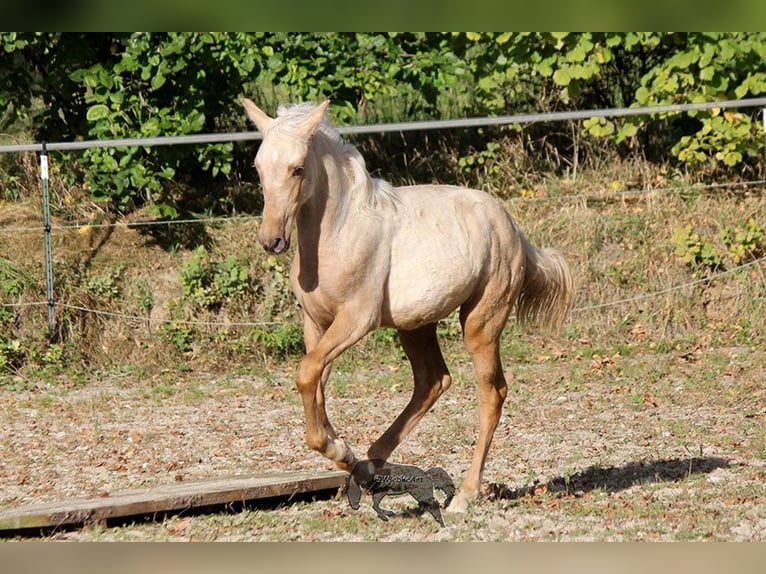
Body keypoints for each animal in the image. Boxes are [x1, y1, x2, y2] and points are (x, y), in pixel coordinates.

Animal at [243, 97, 572, 516]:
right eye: (258, 167)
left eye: (297, 168)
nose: (272, 241)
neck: (338, 233)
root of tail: (512, 227)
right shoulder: (316, 323)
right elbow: (314, 382)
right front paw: (343, 452)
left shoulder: (355, 320)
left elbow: (306, 375)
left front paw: (339, 450)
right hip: (415, 325)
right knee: (433, 381)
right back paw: (368, 468)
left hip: (481, 321)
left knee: (492, 393)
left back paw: (464, 495)